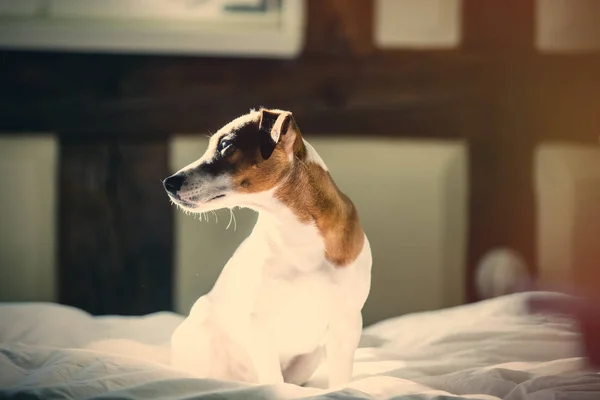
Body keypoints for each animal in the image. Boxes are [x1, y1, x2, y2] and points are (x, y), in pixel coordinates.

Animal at [162, 107, 372, 388]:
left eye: (226, 145)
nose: (168, 182)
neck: (296, 232)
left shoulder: (346, 323)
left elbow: (340, 379)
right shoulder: (259, 325)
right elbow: (273, 379)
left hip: (312, 356)